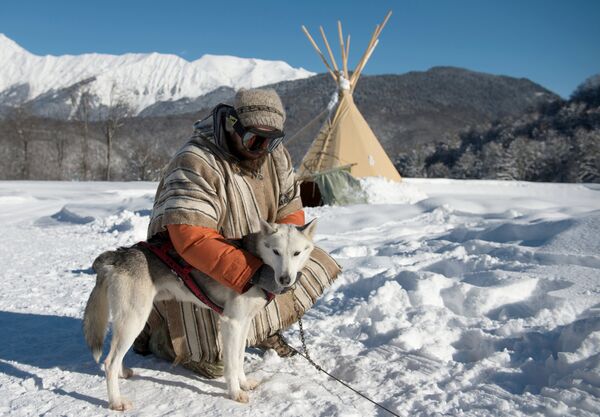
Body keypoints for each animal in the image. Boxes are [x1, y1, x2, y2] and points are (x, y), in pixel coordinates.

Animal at [85, 218, 318, 410]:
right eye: (276, 251)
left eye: (296, 253)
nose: (285, 279)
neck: (259, 266)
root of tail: (119, 255)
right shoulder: (231, 323)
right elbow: (231, 364)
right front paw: (235, 393)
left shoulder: (243, 324)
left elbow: (239, 358)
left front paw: (243, 383)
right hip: (134, 320)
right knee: (109, 363)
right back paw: (116, 402)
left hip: (128, 323)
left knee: (115, 357)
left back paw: (123, 373)